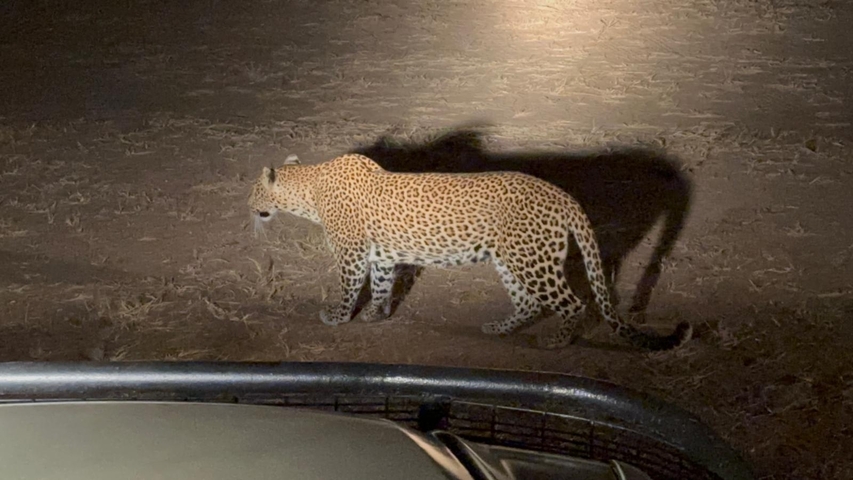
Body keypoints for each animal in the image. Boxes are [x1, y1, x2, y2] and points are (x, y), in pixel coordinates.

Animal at [248, 153, 692, 351]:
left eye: (254, 190)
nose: (248, 207)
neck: (308, 190)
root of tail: (564, 197)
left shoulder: (352, 254)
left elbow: (348, 286)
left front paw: (337, 317)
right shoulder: (383, 256)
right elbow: (382, 284)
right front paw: (376, 314)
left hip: (533, 261)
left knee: (573, 303)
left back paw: (555, 340)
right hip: (510, 259)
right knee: (529, 303)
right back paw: (498, 328)